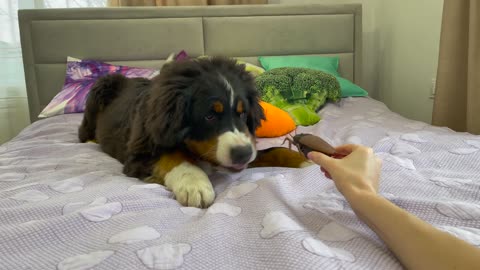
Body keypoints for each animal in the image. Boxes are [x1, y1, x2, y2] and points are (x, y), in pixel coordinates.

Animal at [79, 56, 312, 208]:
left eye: (243, 113)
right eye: (209, 116)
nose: (243, 154)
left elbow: (275, 150)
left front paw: (305, 161)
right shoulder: (138, 156)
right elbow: (173, 156)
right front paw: (194, 184)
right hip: (100, 89)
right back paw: (90, 140)